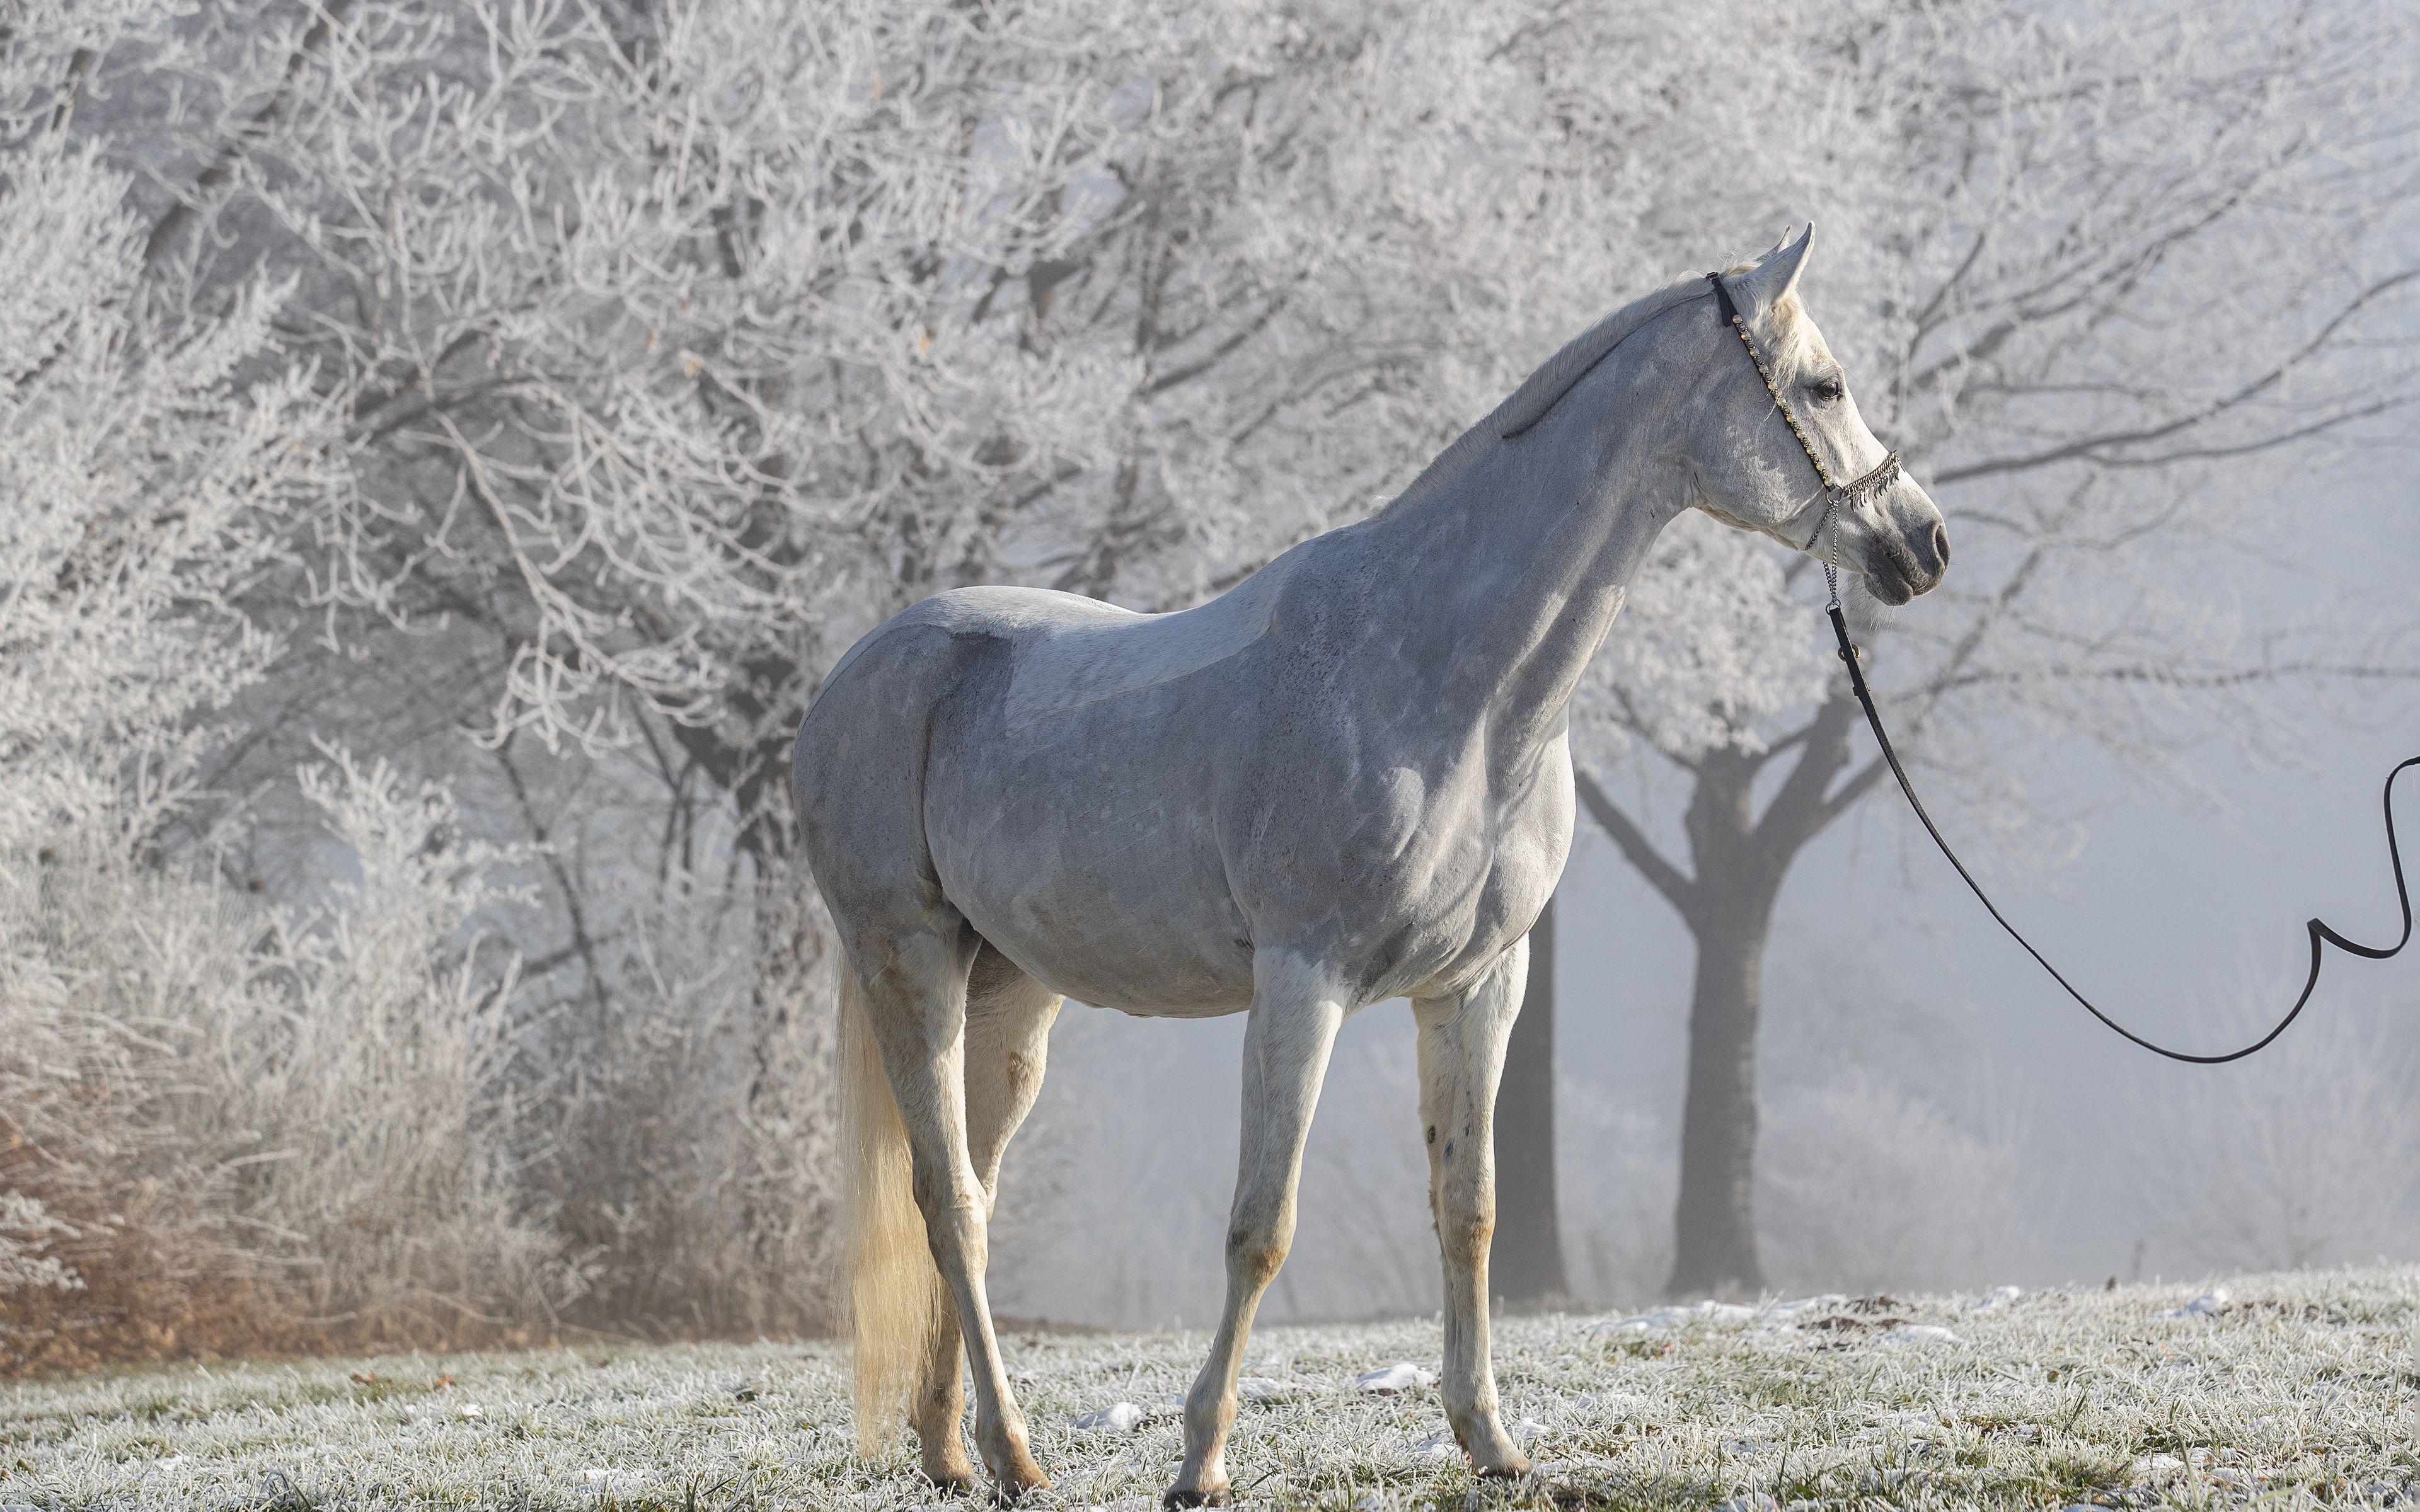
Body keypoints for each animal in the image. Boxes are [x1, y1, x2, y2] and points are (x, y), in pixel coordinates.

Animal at [790, 225, 1949, 1506]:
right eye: (1824, 386)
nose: (1924, 544)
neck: (1453, 677)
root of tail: (862, 672)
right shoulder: (1306, 982)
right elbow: (1262, 1224)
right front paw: (1201, 1461)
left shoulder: (1479, 988)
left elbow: (1470, 1211)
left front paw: (1492, 1441)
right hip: (908, 962)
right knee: (948, 1202)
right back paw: (1013, 1450)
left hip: (1009, 992)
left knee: (972, 1197)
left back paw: (963, 1452)